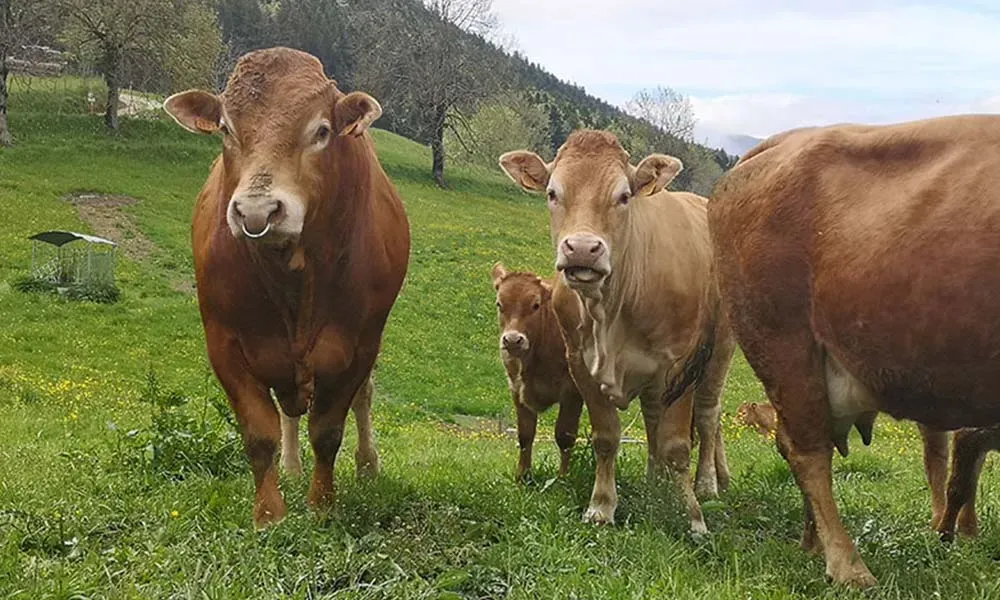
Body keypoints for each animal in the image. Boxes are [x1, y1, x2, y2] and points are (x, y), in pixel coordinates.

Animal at [162, 47, 410, 528]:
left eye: (321, 131)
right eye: (226, 128)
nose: (257, 211)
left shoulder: (359, 345)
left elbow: (329, 429)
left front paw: (322, 506)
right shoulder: (224, 344)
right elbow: (260, 433)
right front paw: (269, 514)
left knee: (361, 400)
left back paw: (367, 465)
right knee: (288, 413)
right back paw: (293, 469)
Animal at [492, 263, 583, 481]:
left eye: (535, 305)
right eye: (499, 304)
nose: (513, 340)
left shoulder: (572, 392)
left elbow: (564, 436)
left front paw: (562, 477)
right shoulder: (516, 389)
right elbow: (525, 434)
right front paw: (523, 476)